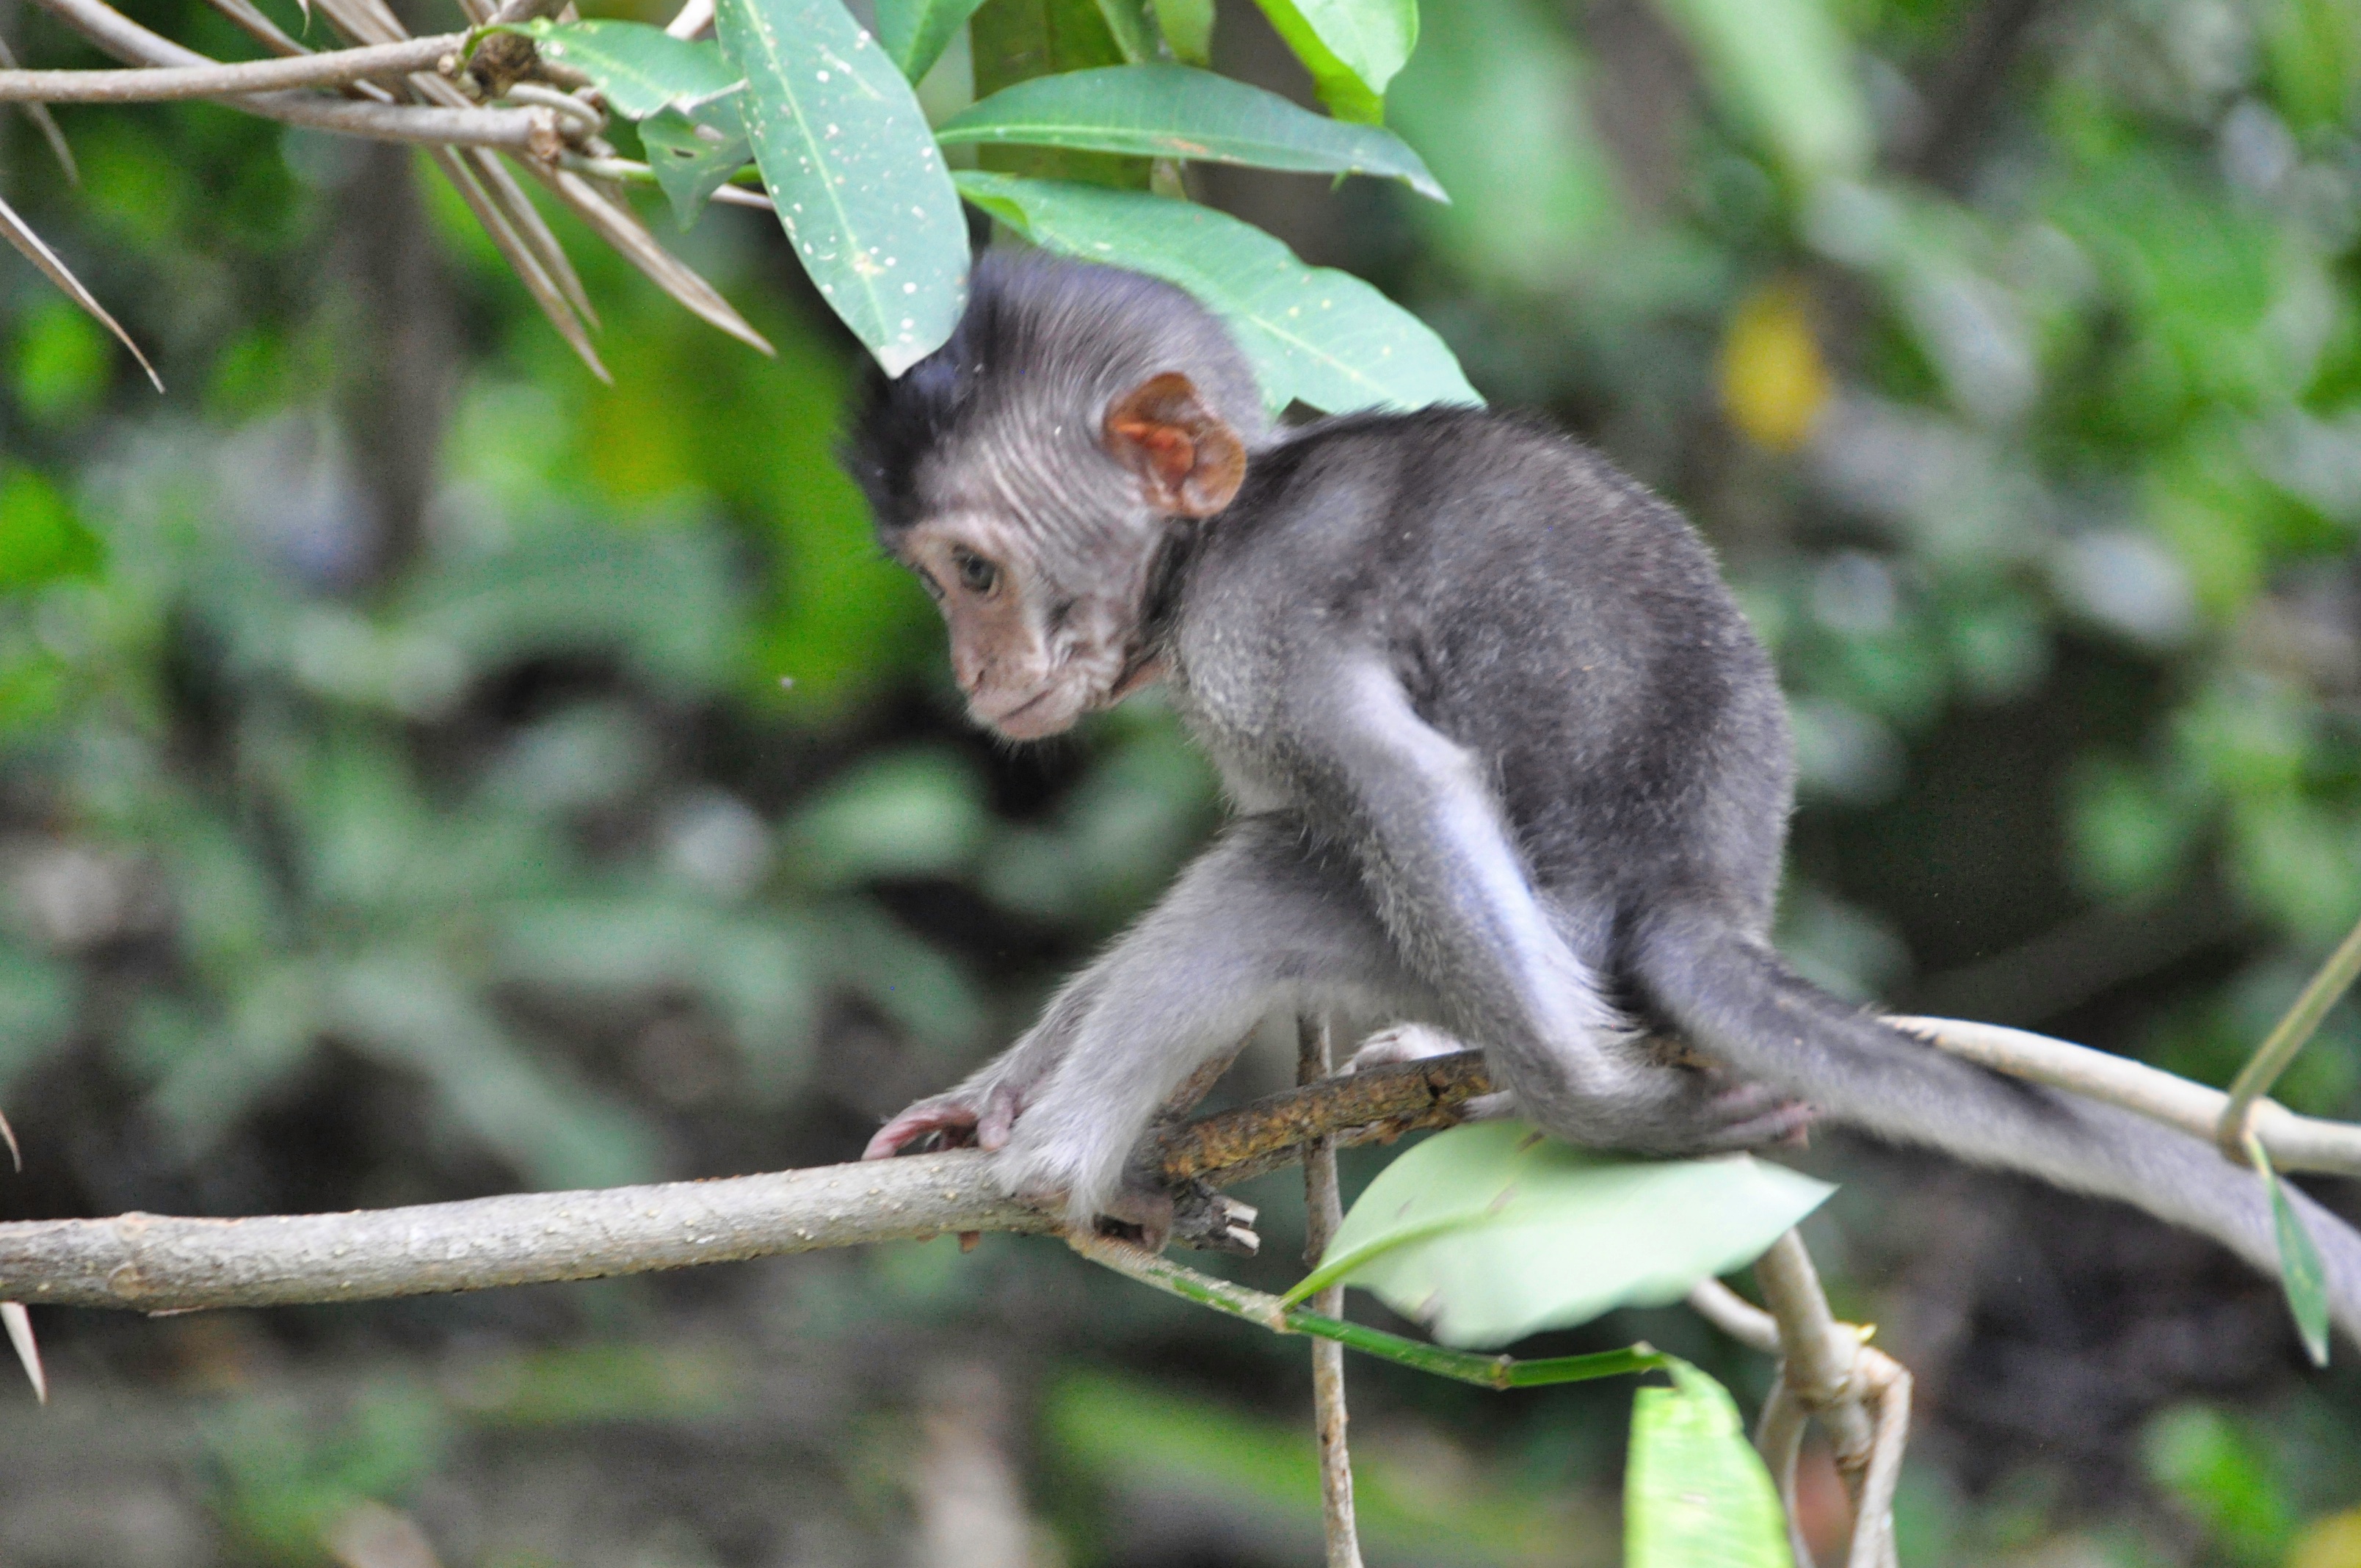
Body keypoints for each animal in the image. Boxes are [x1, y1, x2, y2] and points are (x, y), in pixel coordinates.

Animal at [859, 251, 2361, 1341]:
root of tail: (1707, 893)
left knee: (1267, 893)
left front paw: (1606, 1114)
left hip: (1546, 937)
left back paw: (1067, 1175)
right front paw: (990, 1093)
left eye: (975, 573)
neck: (1222, 531)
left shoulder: (1264, 621)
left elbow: (1407, 789)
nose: (974, 672)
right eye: (939, 586)